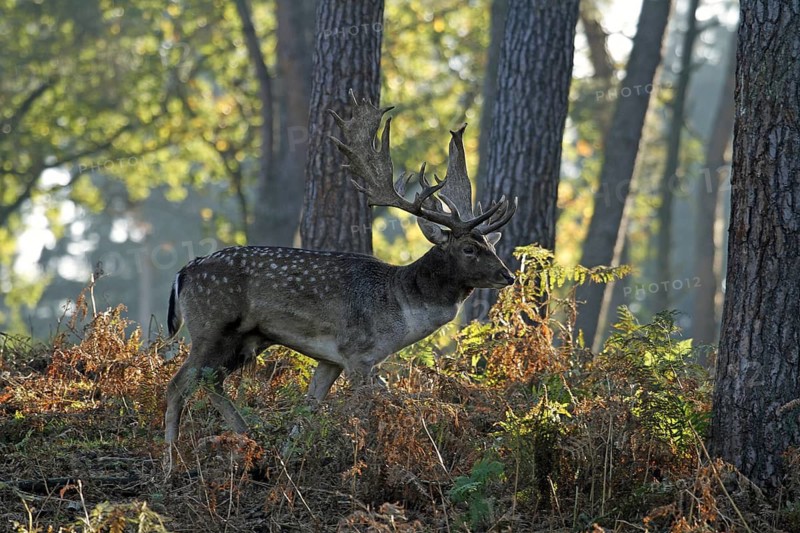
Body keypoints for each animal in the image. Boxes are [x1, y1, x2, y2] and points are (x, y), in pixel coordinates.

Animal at [163, 94, 517, 445]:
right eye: (469, 248)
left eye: (492, 245)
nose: (508, 276)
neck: (400, 307)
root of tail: (182, 274)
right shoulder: (357, 353)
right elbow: (369, 408)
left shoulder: (329, 359)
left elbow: (308, 409)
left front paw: (289, 452)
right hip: (211, 327)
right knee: (178, 384)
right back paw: (172, 456)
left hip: (247, 338)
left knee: (210, 381)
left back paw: (247, 437)